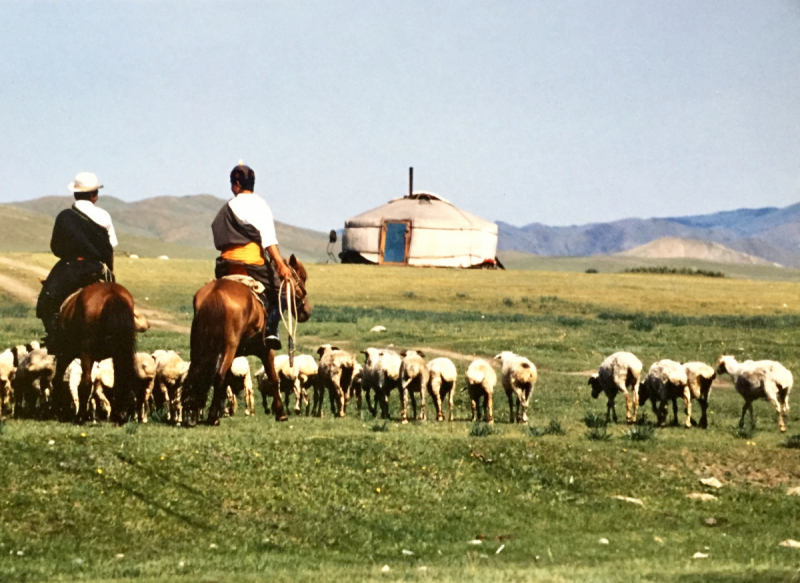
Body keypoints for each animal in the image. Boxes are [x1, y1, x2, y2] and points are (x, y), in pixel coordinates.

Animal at [50, 282, 141, 424]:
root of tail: (111, 294)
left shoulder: (66, 354)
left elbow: (59, 379)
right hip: (118, 354)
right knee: (120, 380)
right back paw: (118, 415)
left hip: (83, 354)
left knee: (84, 382)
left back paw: (80, 416)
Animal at [183, 256, 310, 424]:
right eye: (302, 277)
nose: (306, 311)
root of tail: (216, 292)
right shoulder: (265, 350)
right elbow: (273, 378)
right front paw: (281, 413)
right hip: (228, 346)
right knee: (218, 376)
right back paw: (212, 418)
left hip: (199, 346)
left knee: (196, 376)